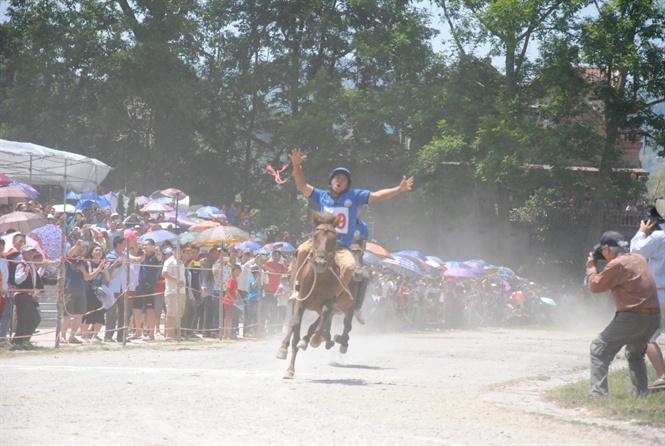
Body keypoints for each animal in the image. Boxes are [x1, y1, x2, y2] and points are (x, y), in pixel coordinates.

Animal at [274, 211, 358, 378]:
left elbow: (321, 320)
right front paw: (282, 349)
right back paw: (290, 367)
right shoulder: (301, 301)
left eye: (334, 238)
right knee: (297, 333)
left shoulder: (329, 303)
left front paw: (315, 339)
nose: (320, 263)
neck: (319, 279)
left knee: (320, 323)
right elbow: (294, 323)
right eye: (315, 236)